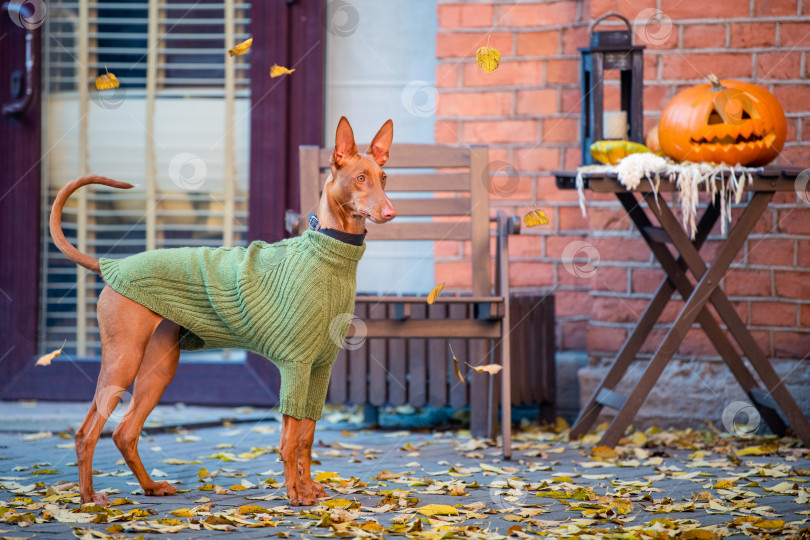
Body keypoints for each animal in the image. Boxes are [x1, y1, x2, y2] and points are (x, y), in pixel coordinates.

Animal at [49, 117, 396, 506]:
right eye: (360, 178)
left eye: (384, 177)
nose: (390, 212)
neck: (329, 251)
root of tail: (110, 265)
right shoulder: (295, 366)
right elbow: (290, 441)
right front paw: (296, 494)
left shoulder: (319, 369)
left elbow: (307, 437)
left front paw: (309, 488)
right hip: (123, 361)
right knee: (87, 432)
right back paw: (89, 499)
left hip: (158, 369)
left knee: (124, 431)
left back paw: (150, 486)